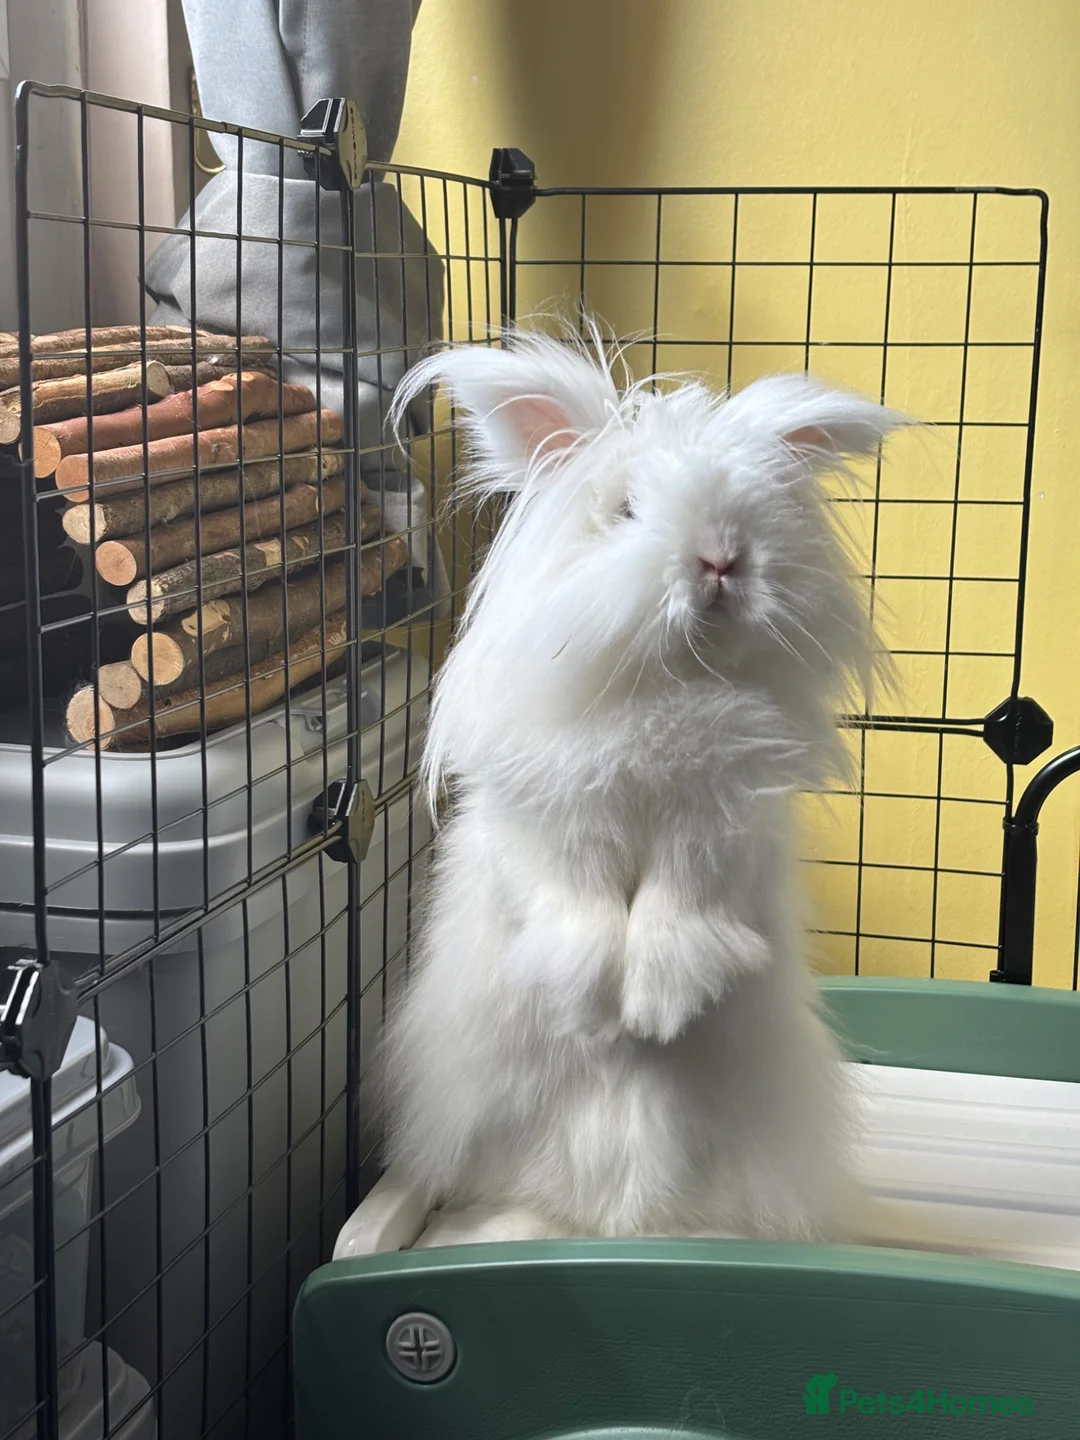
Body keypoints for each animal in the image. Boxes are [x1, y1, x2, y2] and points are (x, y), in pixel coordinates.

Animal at [375, 321, 960, 1250]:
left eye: (754, 513)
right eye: (623, 511)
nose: (721, 559)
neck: (667, 685)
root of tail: (609, 1222)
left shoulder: (716, 830)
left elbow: (675, 912)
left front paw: (653, 1010)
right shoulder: (557, 823)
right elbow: (579, 910)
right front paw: (594, 1011)